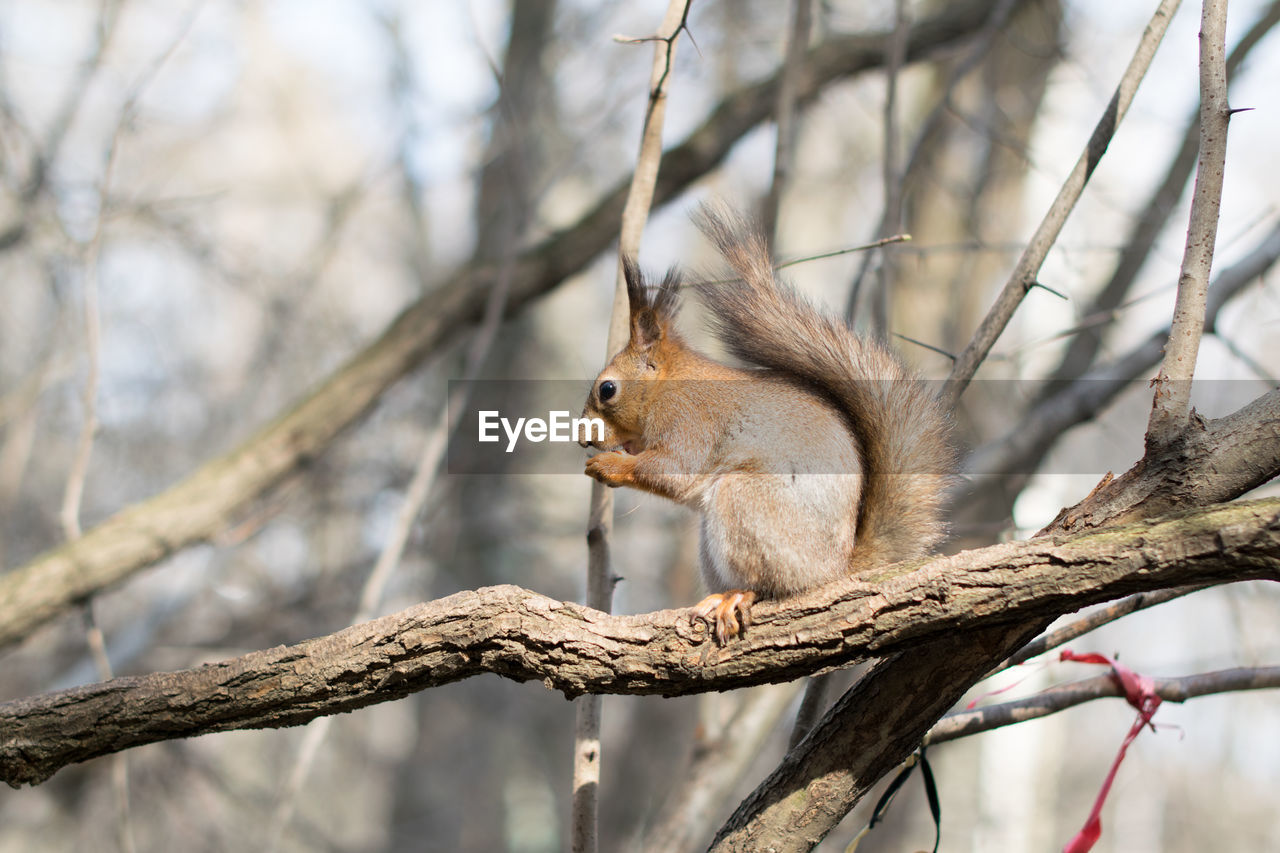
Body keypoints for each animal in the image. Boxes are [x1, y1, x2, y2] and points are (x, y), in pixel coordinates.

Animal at [581, 206, 952, 640]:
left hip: (746, 502)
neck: (667, 386)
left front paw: (610, 465)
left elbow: (673, 471)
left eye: (607, 389)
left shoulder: (689, 420)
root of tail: (835, 570)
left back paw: (740, 595)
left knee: (772, 584)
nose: (584, 438)